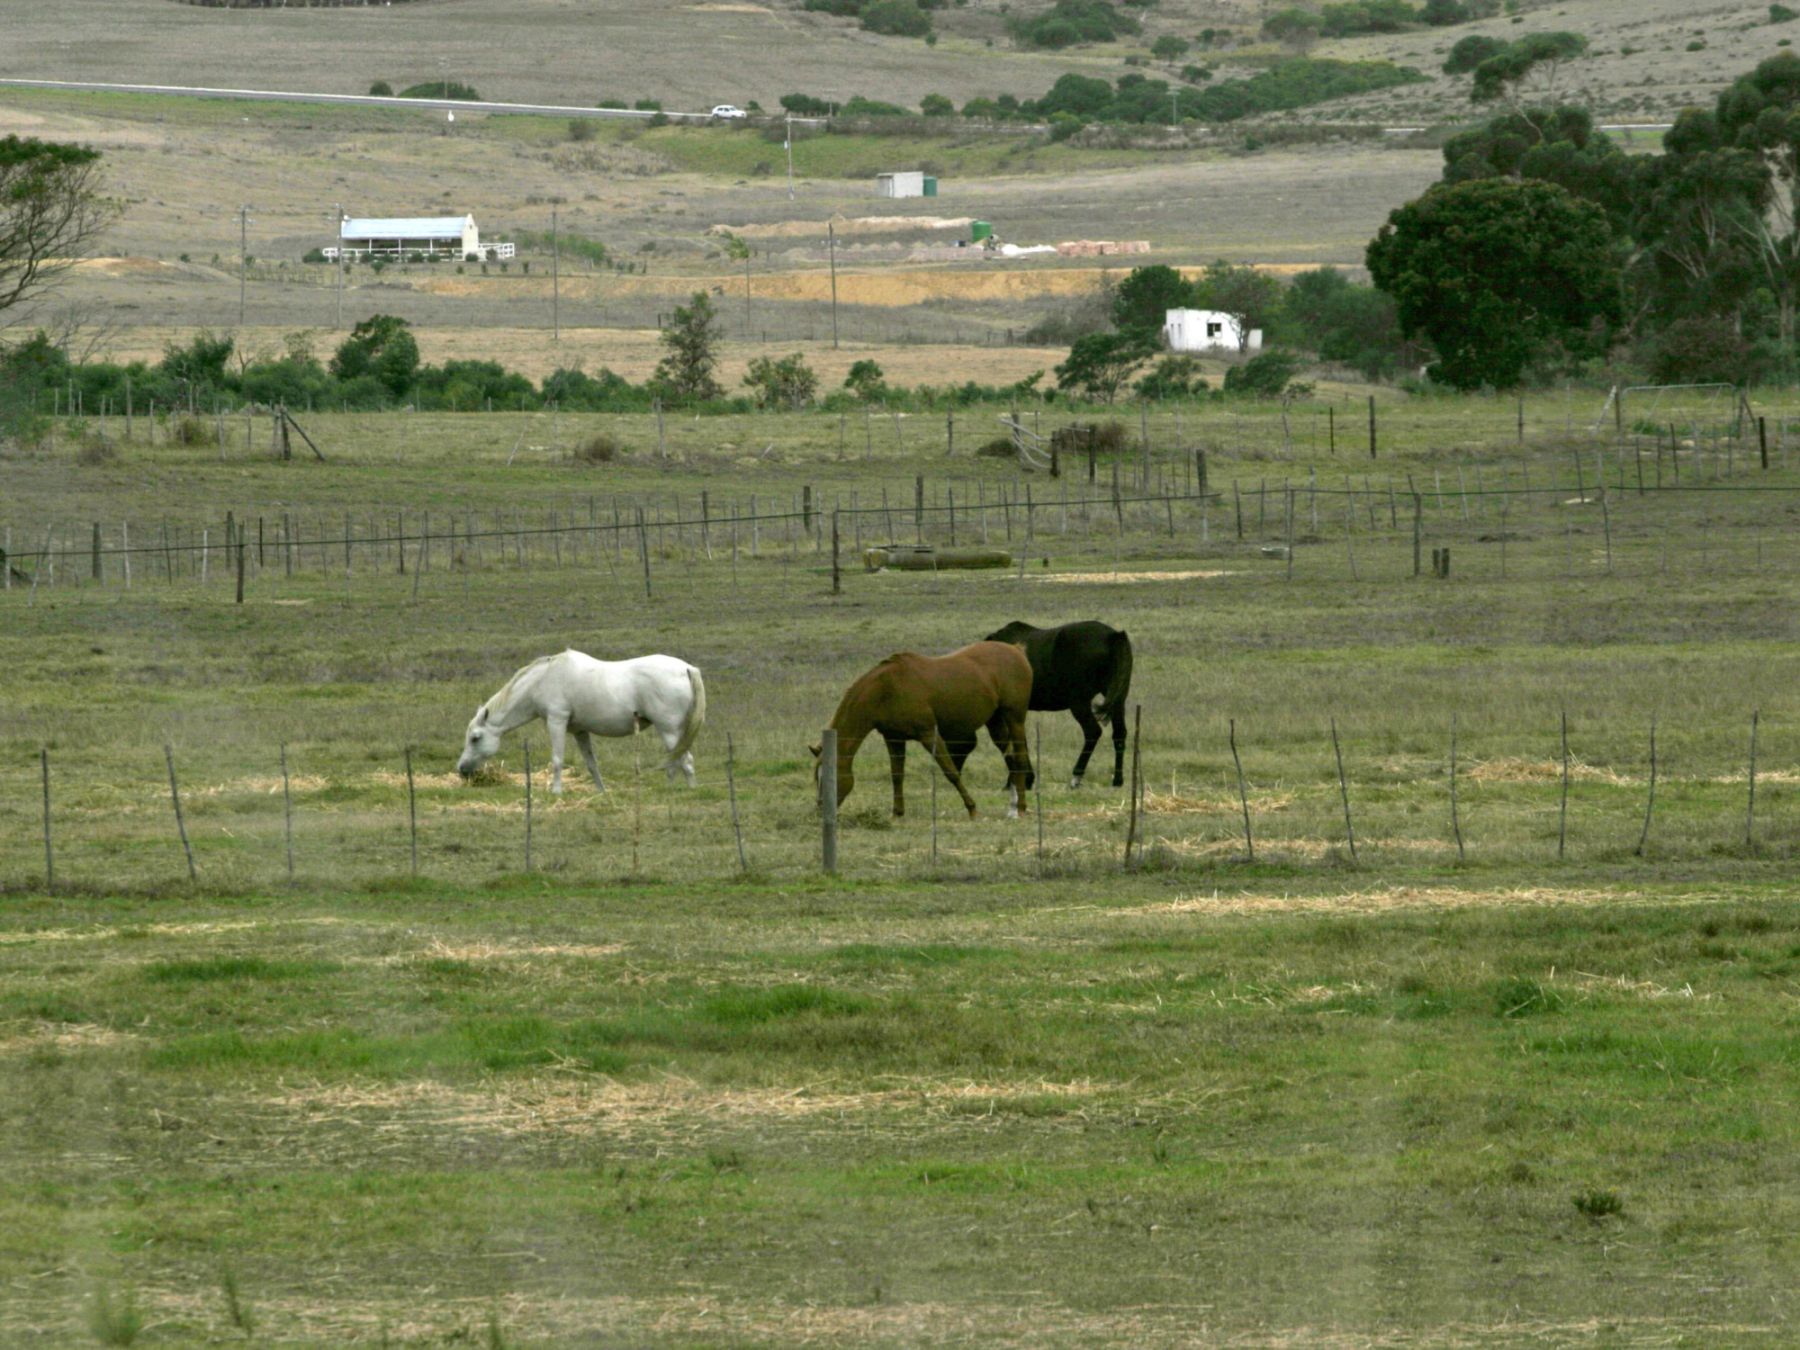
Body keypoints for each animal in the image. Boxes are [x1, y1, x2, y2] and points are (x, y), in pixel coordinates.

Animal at [460, 651, 705, 792]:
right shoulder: (580, 731)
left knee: (686, 761)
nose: (461, 769)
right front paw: (601, 792)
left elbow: (557, 759)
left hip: (669, 730)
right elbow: (591, 763)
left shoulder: (556, 721)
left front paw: (556, 791)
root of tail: (687, 669)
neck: (543, 680)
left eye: (475, 738)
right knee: (675, 762)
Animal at [813, 640, 1036, 820]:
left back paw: (1022, 807)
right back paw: (1013, 807)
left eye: (829, 777)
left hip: (1014, 718)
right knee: (1011, 759)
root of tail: (1016, 650)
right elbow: (897, 775)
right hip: (995, 722)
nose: (821, 810)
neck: (886, 689)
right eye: (817, 777)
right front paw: (897, 813)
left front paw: (972, 808)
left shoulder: (929, 734)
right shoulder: (894, 739)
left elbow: (950, 771)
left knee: (1020, 758)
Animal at [979, 619, 1130, 788]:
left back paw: (1076, 776)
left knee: (1093, 732)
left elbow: (1007, 741)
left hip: (1079, 703)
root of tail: (1113, 635)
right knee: (1119, 734)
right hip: (1116, 700)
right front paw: (1027, 778)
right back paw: (1117, 780)